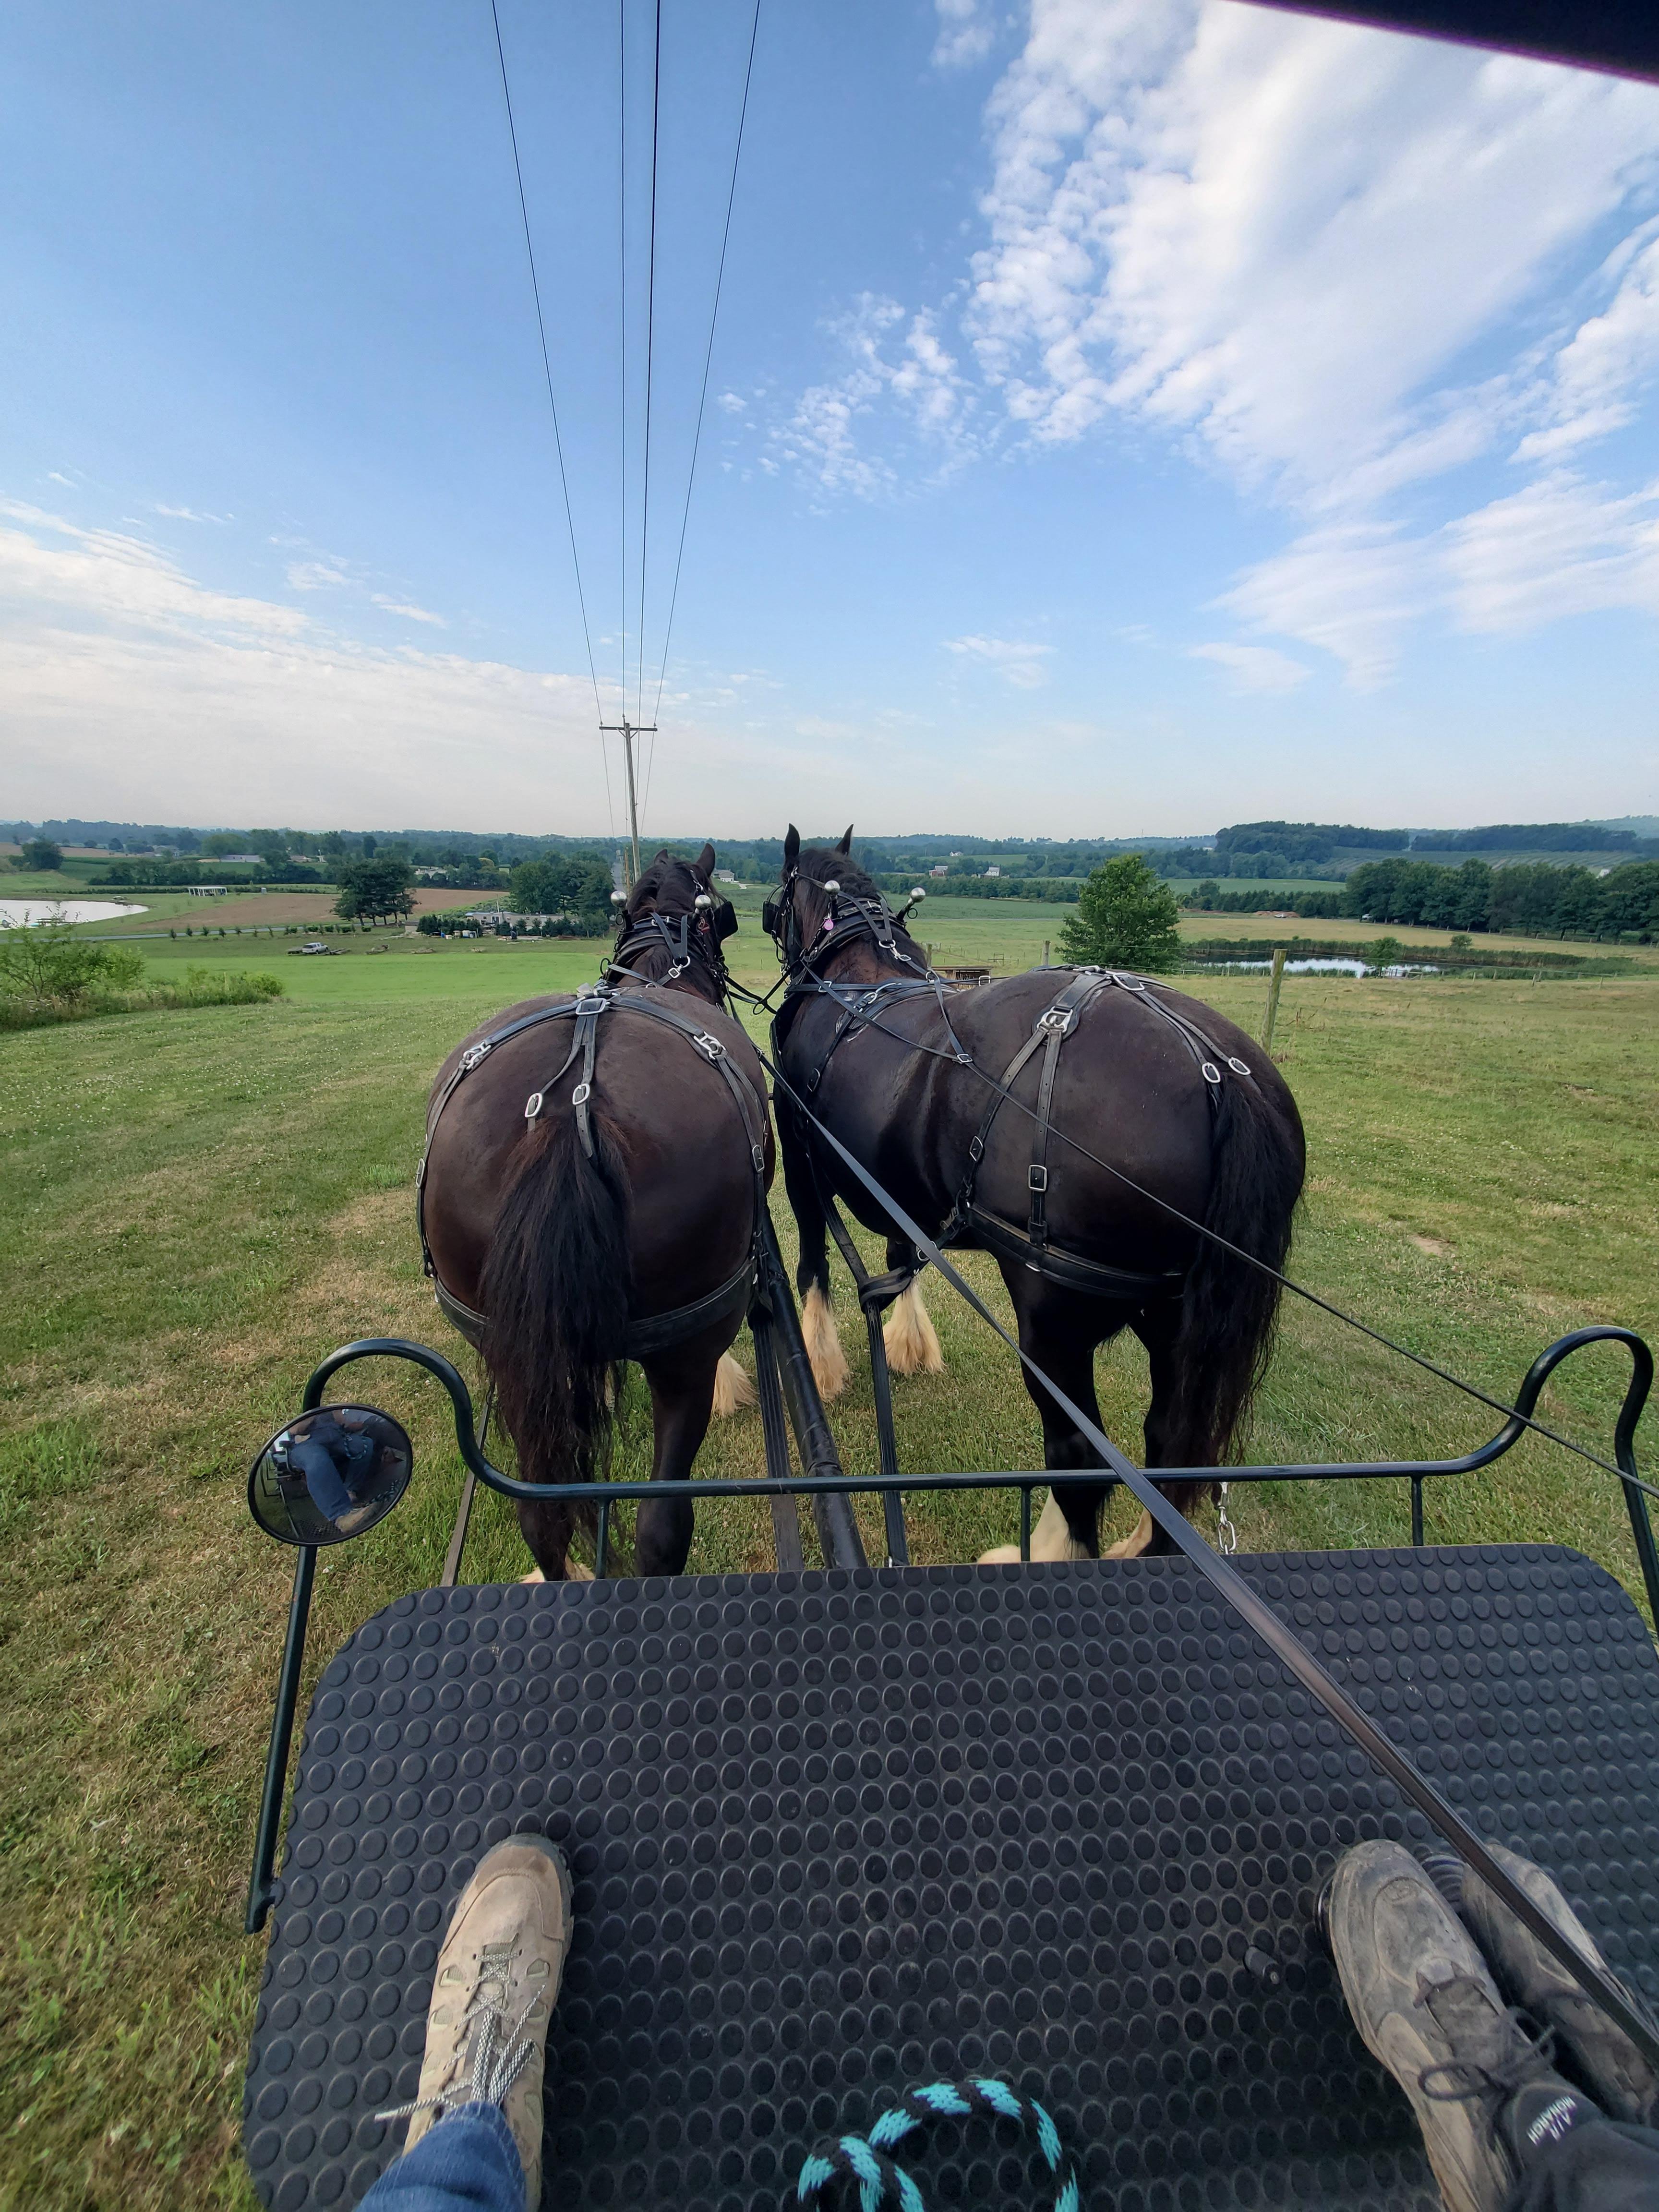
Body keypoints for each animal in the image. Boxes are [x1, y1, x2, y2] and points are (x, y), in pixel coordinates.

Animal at [417, 845, 772, 1580]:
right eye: (724, 914)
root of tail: (568, 1111)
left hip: (505, 1350)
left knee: (541, 1518)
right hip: (687, 1349)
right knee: (661, 1527)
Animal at [765, 827, 1306, 1561]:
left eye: (777, 898)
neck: (851, 969)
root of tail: (1216, 1071)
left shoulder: (801, 1162)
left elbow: (813, 1265)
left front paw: (823, 1363)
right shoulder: (896, 1184)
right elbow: (901, 1254)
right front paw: (909, 1343)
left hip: (1052, 1324)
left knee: (1079, 1460)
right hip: (1172, 1316)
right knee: (1168, 1445)